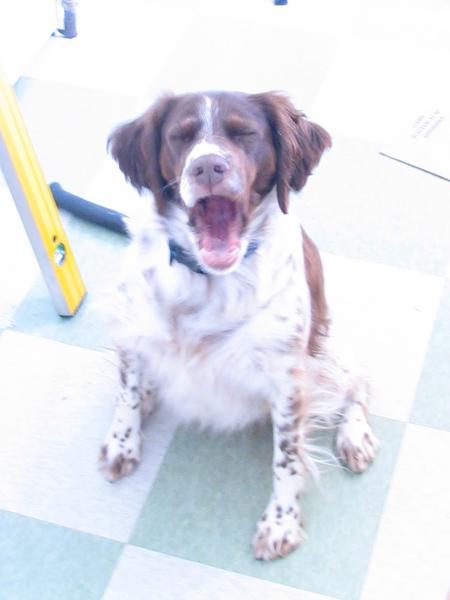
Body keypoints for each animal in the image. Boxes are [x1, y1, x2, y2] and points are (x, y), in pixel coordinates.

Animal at [99, 91, 379, 561]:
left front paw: (281, 524)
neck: (209, 280)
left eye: (245, 133)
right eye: (180, 136)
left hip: (328, 349)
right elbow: (127, 394)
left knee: (357, 385)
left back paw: (355, 437)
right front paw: (123, 442)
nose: (208, 167)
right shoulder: (133, 328)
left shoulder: (289, 379)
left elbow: (286, 457)